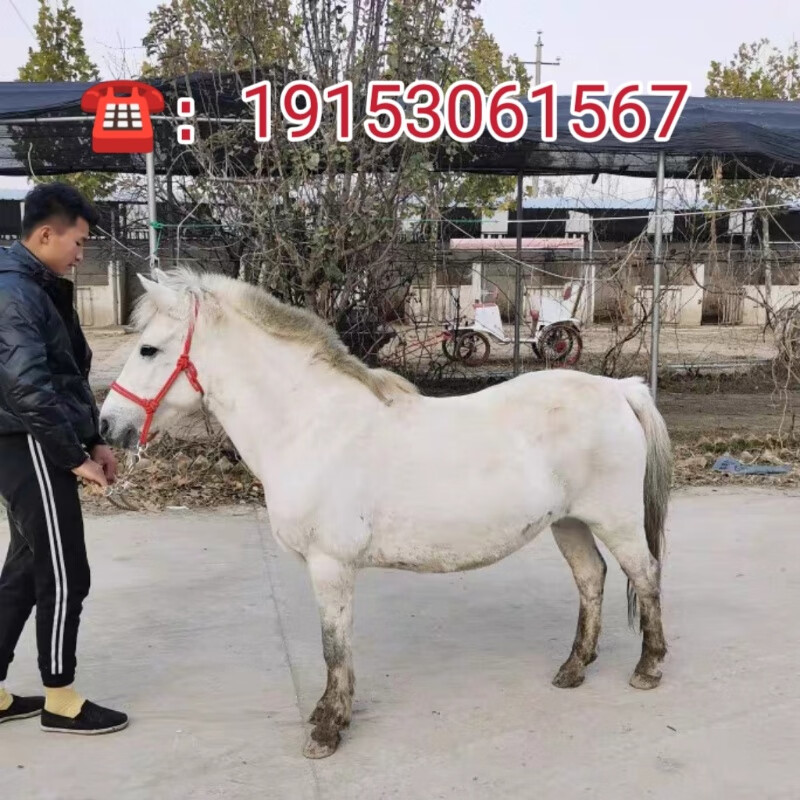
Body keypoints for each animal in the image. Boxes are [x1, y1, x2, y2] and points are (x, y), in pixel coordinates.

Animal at [98, 268, 672, 760]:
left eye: (149, 348)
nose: (106, 424)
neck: (311, 424)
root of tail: (620, 390)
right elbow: (339, 646)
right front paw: (331, 715)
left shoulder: (329, 565)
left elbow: (333, 646)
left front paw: (327, 729)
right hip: (569, 522)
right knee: (591, 579)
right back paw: (574, 668)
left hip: (615, 521)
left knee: (645, 576)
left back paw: (648, 667)